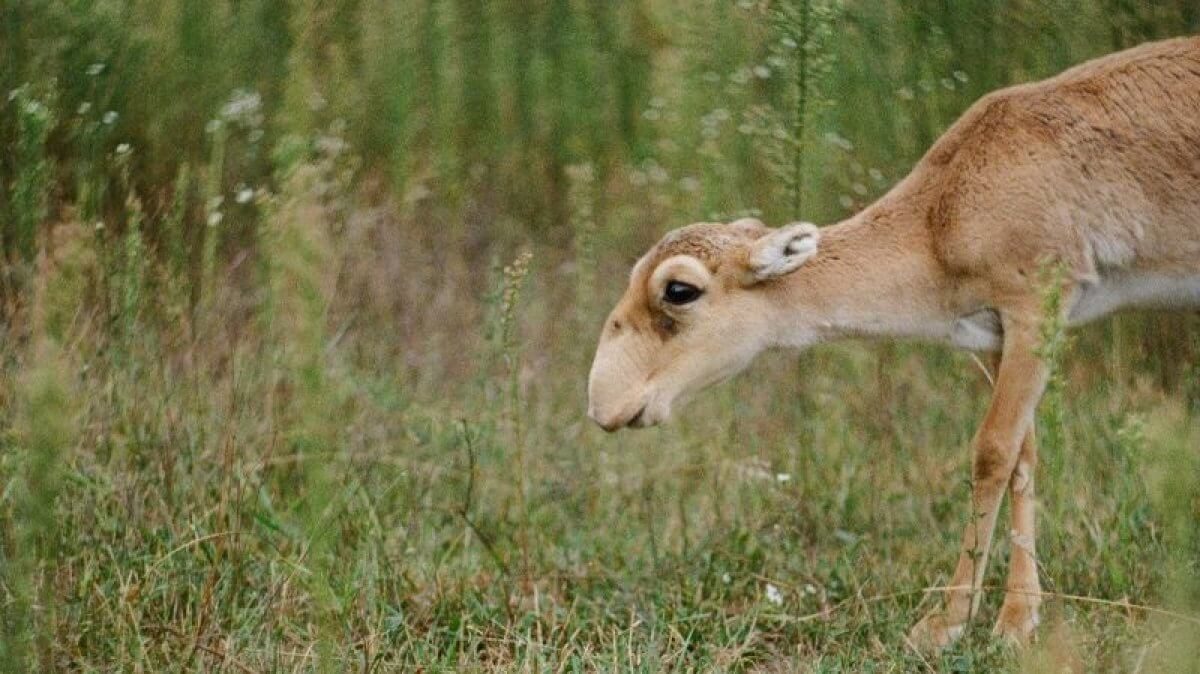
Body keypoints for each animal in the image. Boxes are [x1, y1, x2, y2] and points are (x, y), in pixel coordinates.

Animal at [583, 36, 1200, 647]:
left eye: (679, 290)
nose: (602, 402)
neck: (940, 218)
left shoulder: (1036, 308)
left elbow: (991, 451)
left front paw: (949, 622)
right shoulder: (997, 332)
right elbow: (1023, 456)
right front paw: (1020, 617)